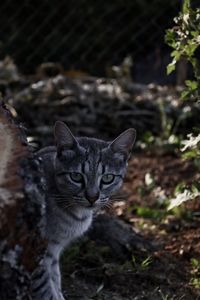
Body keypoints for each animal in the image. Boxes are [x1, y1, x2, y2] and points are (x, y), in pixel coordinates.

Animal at [31, 120, 137, 298]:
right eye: (76, 176)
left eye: (108, 178)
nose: (92, 197)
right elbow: (46, 289)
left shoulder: (53, 250)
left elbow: (55, 279)